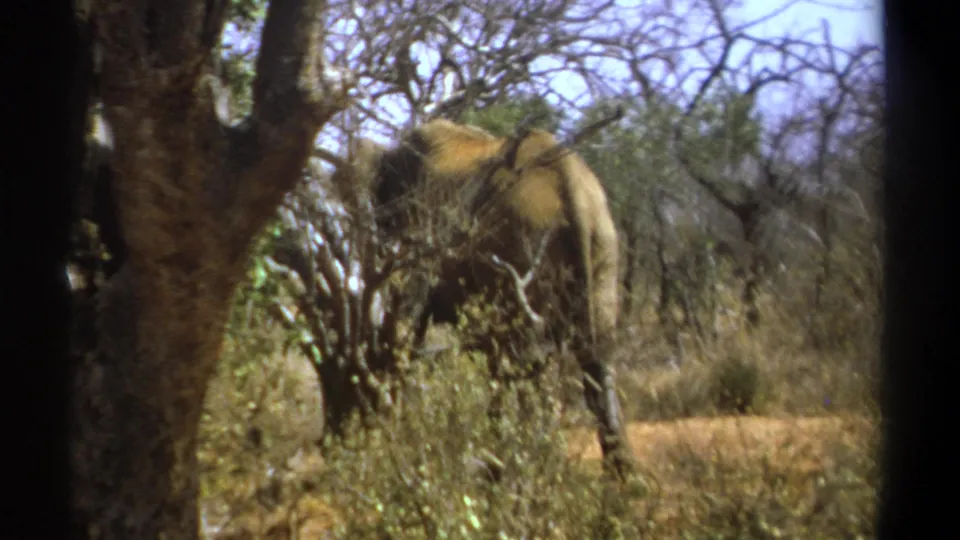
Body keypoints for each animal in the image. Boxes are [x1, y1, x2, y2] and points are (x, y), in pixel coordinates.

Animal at [339, 118, 635, 479]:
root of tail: (573, 188)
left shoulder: (424, 227)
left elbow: (407, 325)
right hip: (603, 245)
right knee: (596, 358)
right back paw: (622, 482)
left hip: (524, 244)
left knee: (528, 358)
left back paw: (523, 467)